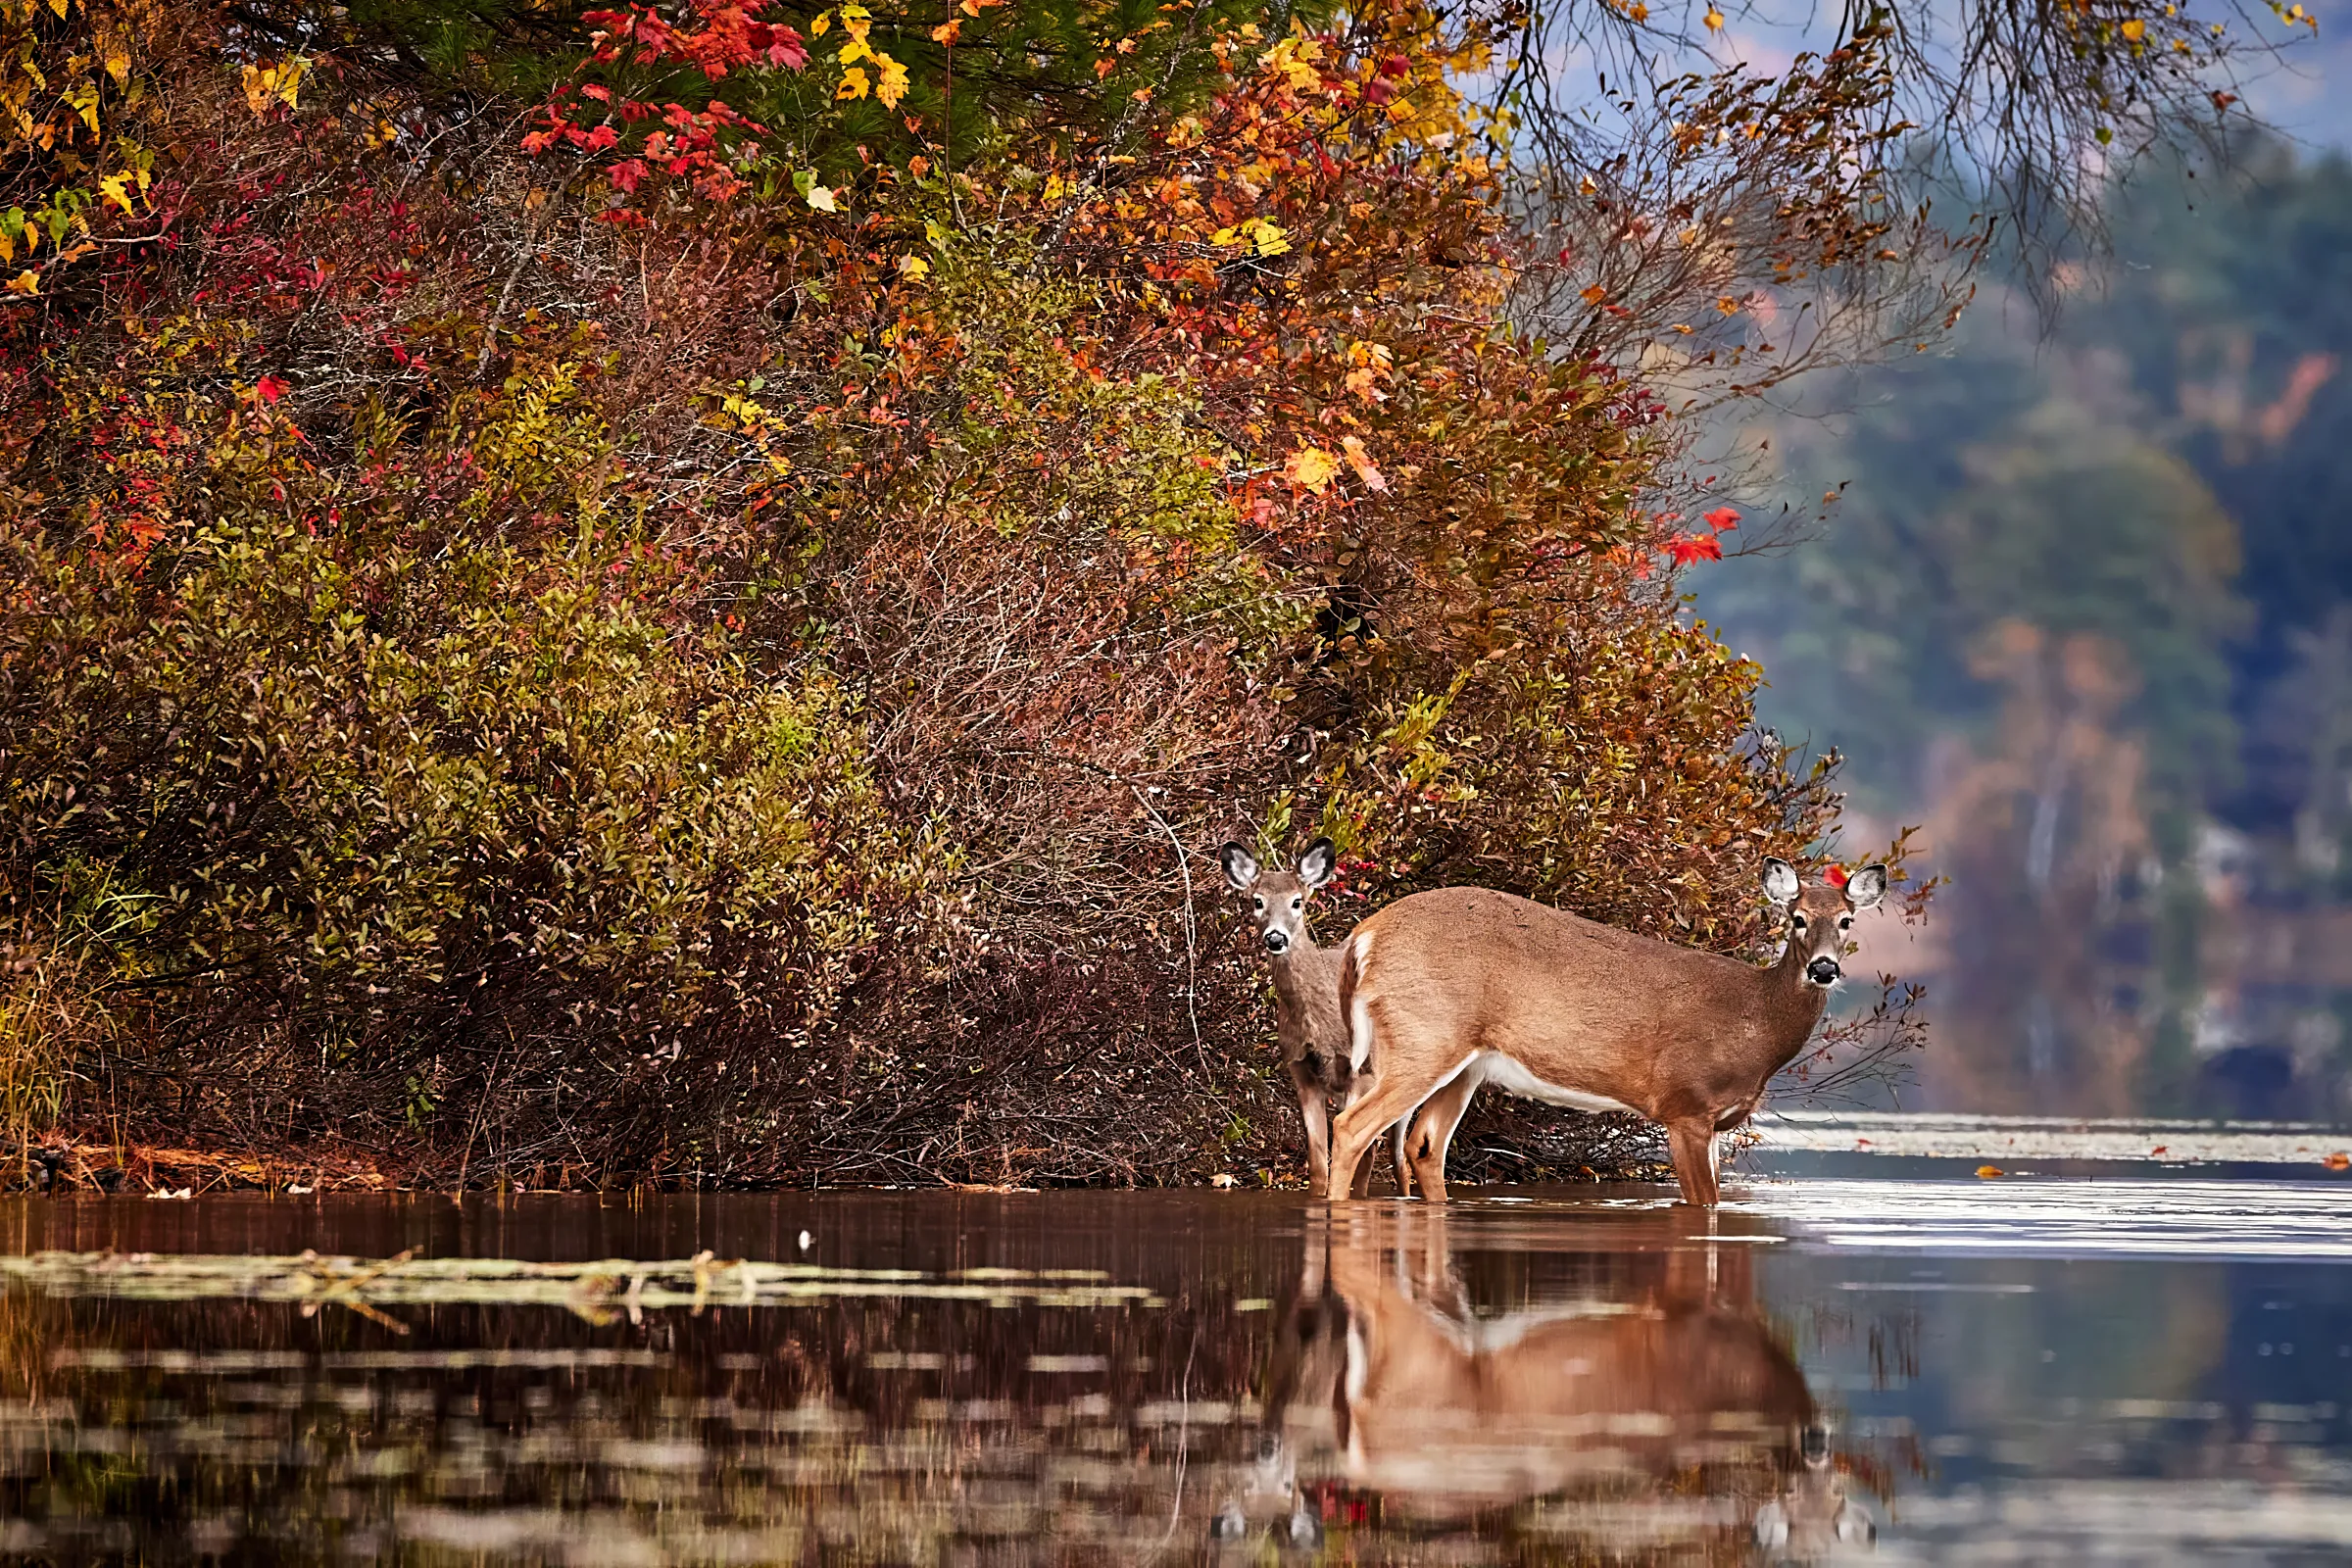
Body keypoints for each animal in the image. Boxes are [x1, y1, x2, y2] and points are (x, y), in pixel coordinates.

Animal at [1221, 838, 1414, 1198]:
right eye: (1257, 901)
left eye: (1297, 901)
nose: (1276, 938)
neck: (1319, 1028)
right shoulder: (1301, 1071)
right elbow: (1317, 1162)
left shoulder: (1360, 1072)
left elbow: (1360, 1154)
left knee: (1397, 1156)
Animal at [1323, 857, 1887, 1207]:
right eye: (1797, 918)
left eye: (1846, 921)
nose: (1823, 969)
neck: (1757, 1023)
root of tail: (1364, 936)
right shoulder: (1684, 1105)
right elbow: (1704, 1204)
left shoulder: (1711, 1122)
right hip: (1426, 1037)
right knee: (1352, 1127)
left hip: (1456, 1061)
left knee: (1422, 1145)